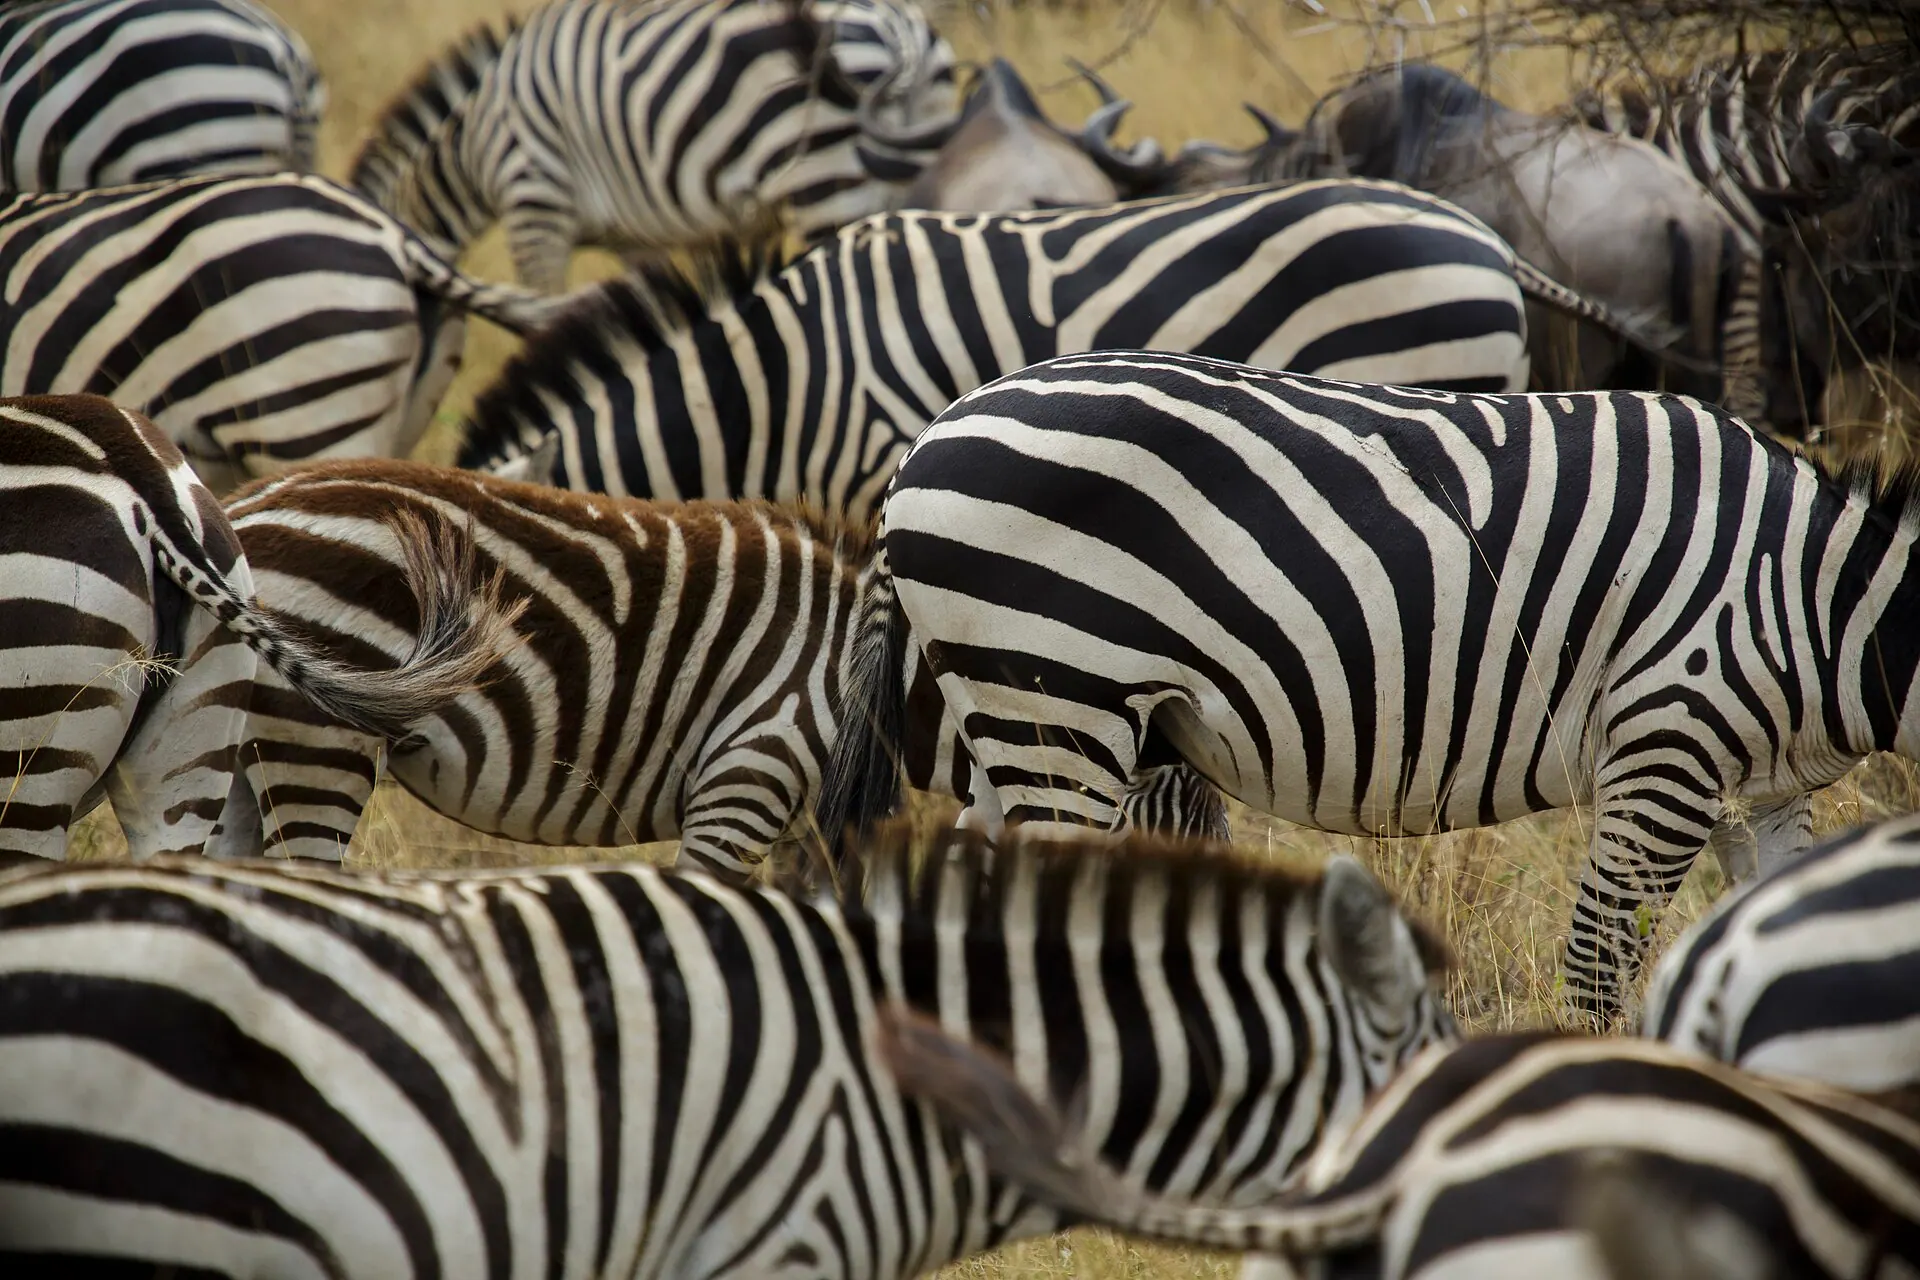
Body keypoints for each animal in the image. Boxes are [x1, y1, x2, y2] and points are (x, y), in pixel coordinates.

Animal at [347, 0, 961, 294]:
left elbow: (544, 308)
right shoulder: (637, 241)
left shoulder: (534, 202)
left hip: (822, 178)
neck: (476, 142)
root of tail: (900, 31)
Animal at [814, 349, 1920, 1026]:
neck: (1822, 601)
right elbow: (1600, 961)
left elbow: (1784, 943)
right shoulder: (1668, 743)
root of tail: (925, 443)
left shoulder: (1762, 788)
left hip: (1011, 715)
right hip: (1060, 700)